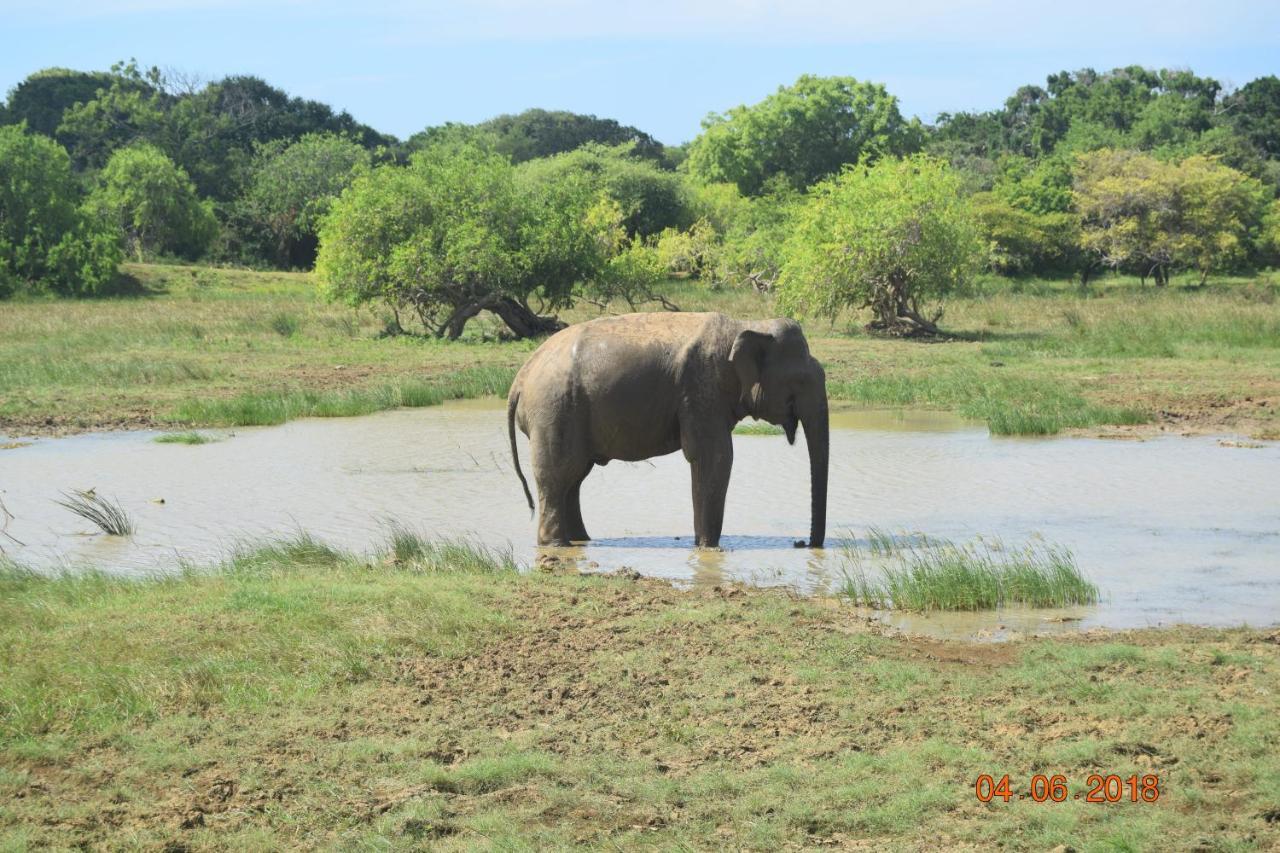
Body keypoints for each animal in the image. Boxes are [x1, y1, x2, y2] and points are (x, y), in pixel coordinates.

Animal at [504, 311, 824, 545]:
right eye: (799, 381)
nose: (803, 544)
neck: (748, 325)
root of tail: (519, 380)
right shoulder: (701, 387)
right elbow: (715, 457)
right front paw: (707, 548)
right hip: (554, 410)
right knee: (559, 475)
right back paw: (556, 545)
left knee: (574, 477)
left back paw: (582, 541)